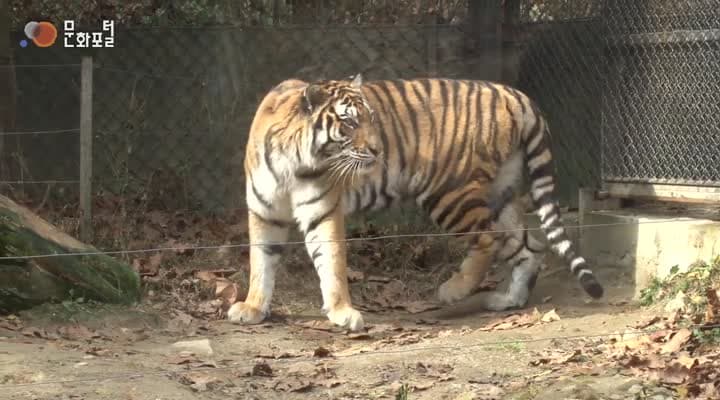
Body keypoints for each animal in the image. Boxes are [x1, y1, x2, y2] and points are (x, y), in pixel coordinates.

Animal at [229, 73, 600, 330]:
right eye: (349, 121)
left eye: (372, 118)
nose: (378, 150)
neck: (295, 161)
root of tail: (516, 94)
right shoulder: (264, 212)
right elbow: (261, 262)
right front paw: (253, 307)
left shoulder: (322, 210)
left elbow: (331, 262)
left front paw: (343, 312)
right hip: (500, 193)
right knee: (529, 247)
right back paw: (508, 300)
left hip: (448, 191)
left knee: (487, 239)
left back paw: (453, 290)